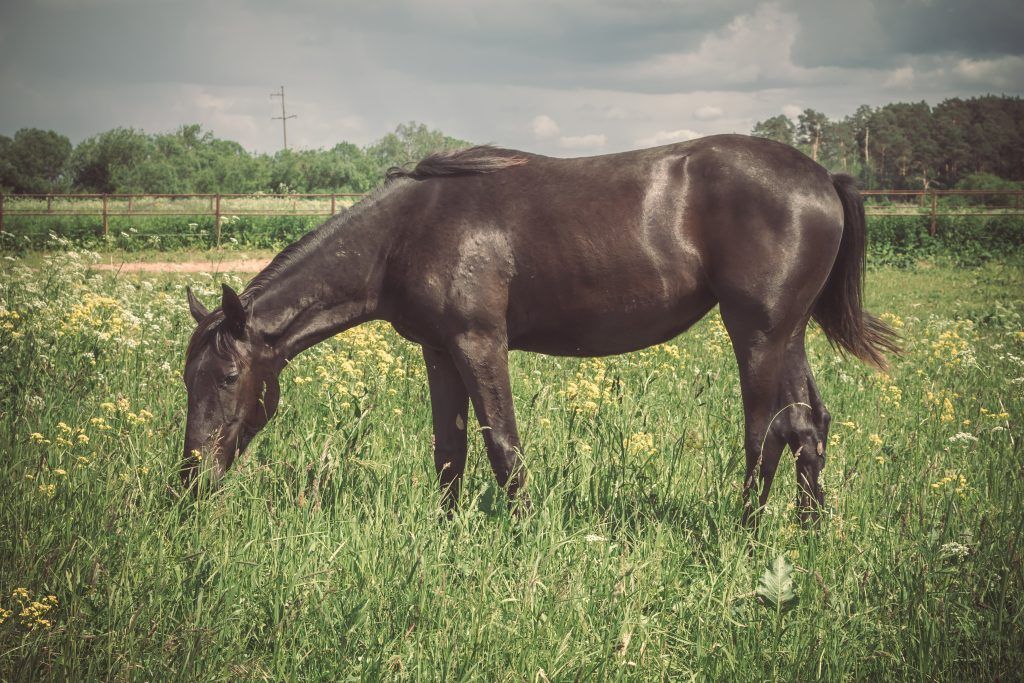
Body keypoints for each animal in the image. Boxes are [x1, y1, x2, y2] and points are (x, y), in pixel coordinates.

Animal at [182, 136, 897, 528]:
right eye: (187, 379)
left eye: (228, 375)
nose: (190, 480)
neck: (408, 231)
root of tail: (822, 178)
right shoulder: (439, 350)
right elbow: (450, 449)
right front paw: (447, 533)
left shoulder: (479, 342)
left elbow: (504, 446)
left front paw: (523, 536)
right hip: (788, 333)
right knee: (808, 424)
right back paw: (808, 530)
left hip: (757, 333)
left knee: (765, 432)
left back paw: (745, 535)